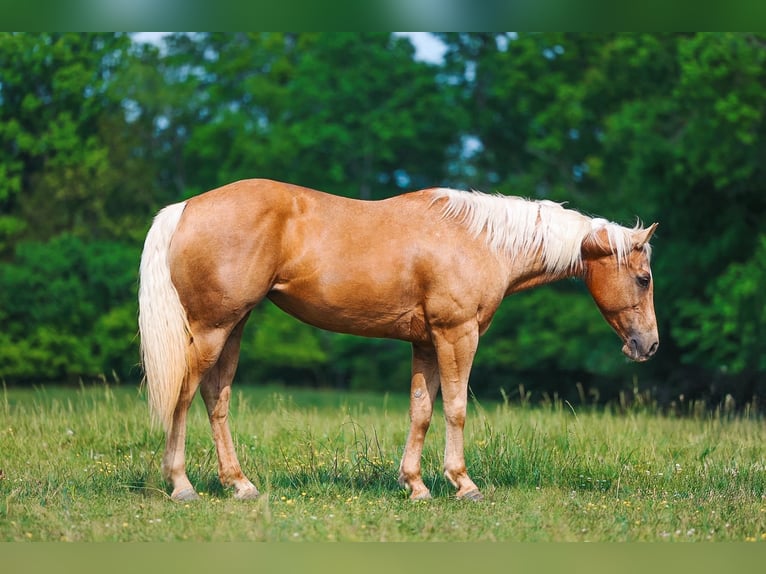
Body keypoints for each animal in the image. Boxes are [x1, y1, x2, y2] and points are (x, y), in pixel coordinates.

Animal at [138, 178, 658, 502]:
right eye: (644, 278)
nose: (649, 346)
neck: (480, 239)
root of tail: (186, 208)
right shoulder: (456, 335)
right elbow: (456, 408)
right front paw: (463, 483)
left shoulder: (426, 343)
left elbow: (421, 411)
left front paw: (416, 485)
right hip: (212, 328)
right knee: (183, 394)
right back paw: (182, 485)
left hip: (233, 326)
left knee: (216, 398)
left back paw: (239, 484)